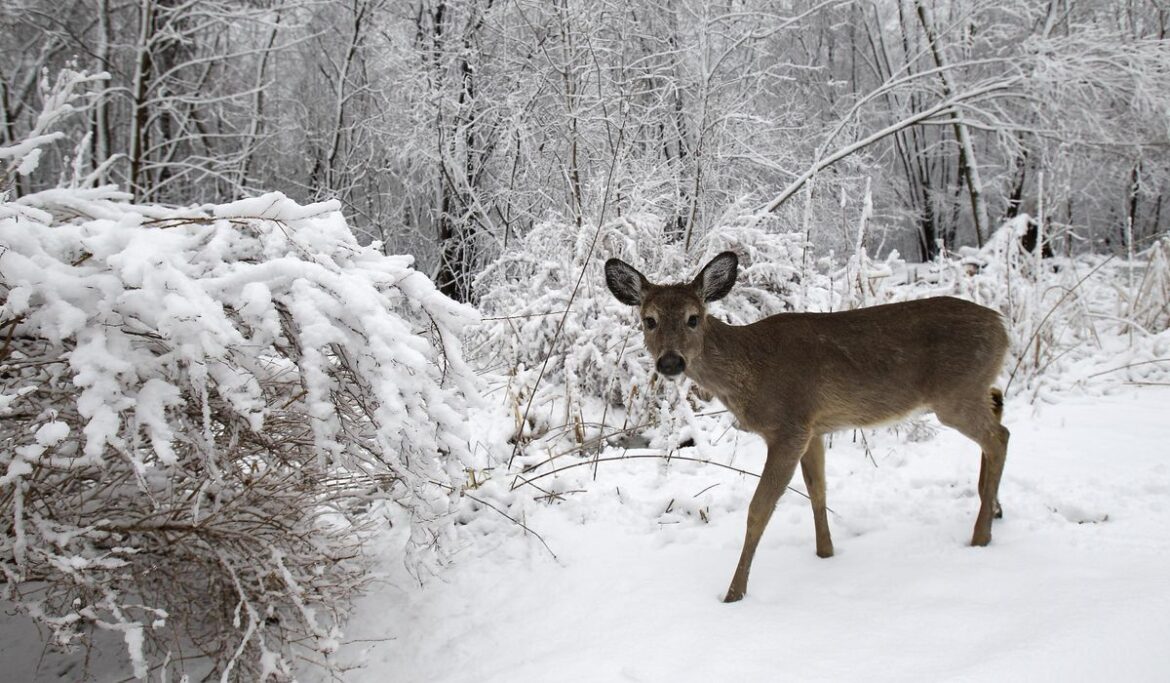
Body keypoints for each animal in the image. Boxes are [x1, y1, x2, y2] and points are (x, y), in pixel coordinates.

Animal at [604, 251, 1010, 603]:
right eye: (649, 320)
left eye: (693, 318)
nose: (670, 362)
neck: (752, 370)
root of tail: (1003, 328)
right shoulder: (813, 428)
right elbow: (818, 491)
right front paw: (826, 554)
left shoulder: (789, 426)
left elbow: (758, 511)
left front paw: (734, 594)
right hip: (970, 390)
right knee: (998, 406)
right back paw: (994, 509)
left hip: (955, 393)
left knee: (999, 438)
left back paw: (981, 535)